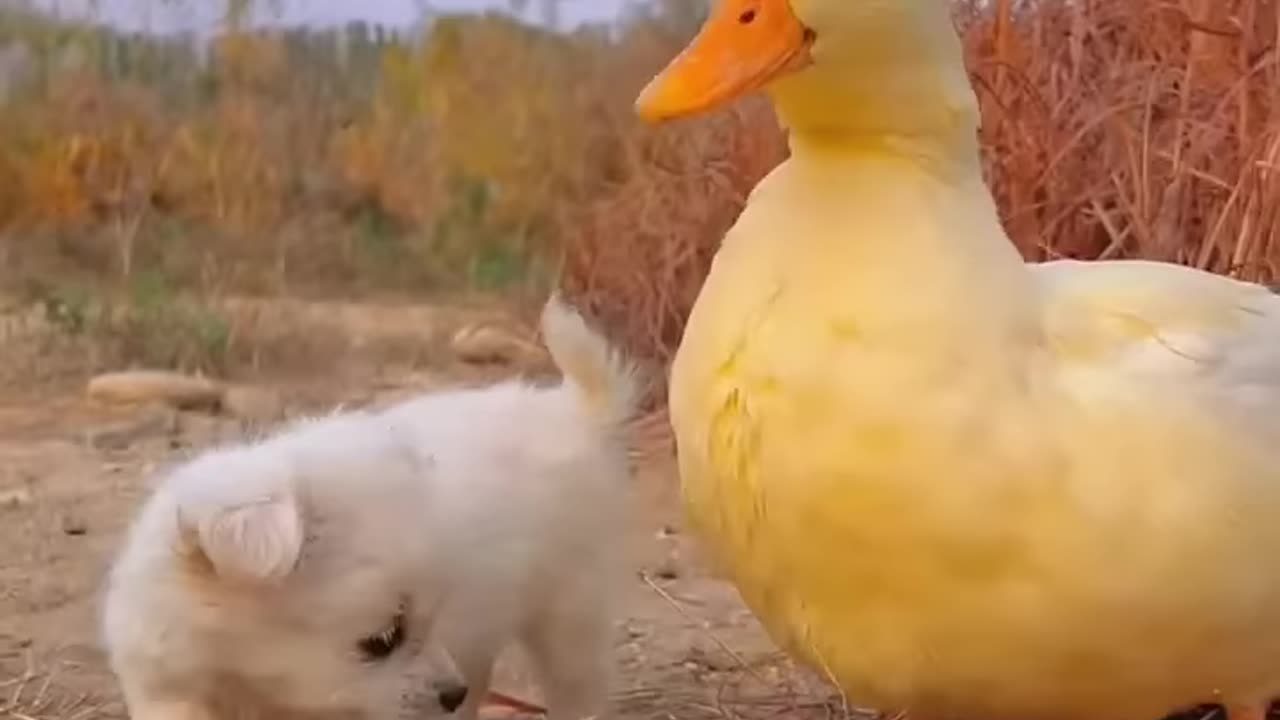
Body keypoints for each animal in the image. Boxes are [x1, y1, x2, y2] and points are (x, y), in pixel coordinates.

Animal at [103, 294, 640, 712]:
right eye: (382, 642)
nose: (450, 695)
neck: (240, 672)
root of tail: (571, 409)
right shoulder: (166, 684)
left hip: (571, 608)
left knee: (577, 686)